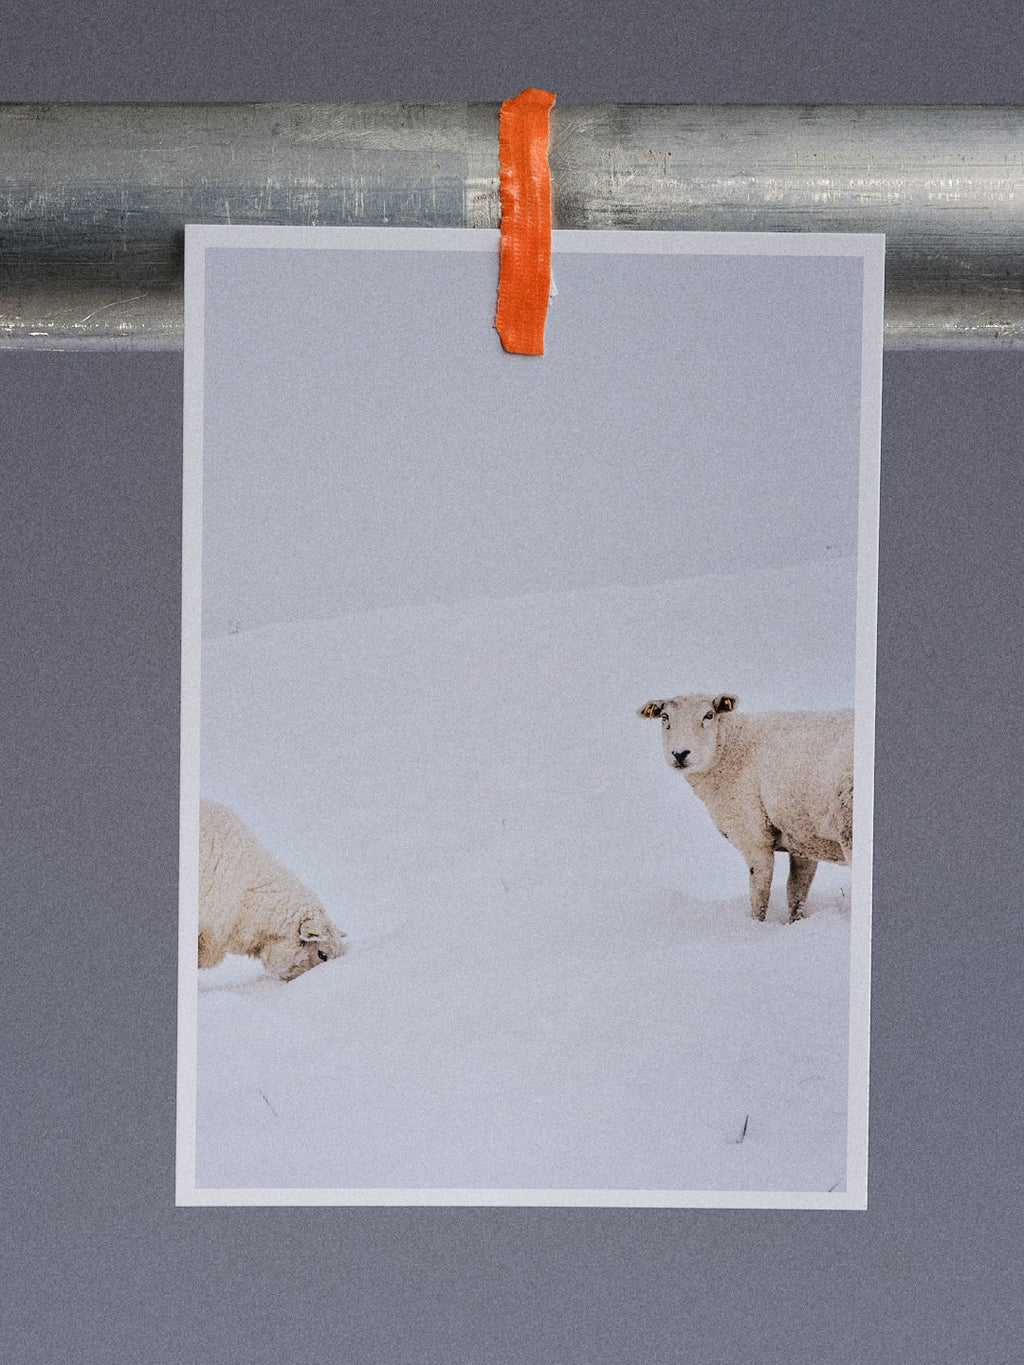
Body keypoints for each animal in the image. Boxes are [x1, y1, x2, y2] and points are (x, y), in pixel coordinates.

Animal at [637, 694, 853, 923]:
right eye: (664, 717)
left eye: (709, 715)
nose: (679, 754)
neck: (730, 748)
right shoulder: (802, 837)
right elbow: (796, 892)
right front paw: (795, 922)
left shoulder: (754, 838)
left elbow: (759, 896)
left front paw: (757, 926)